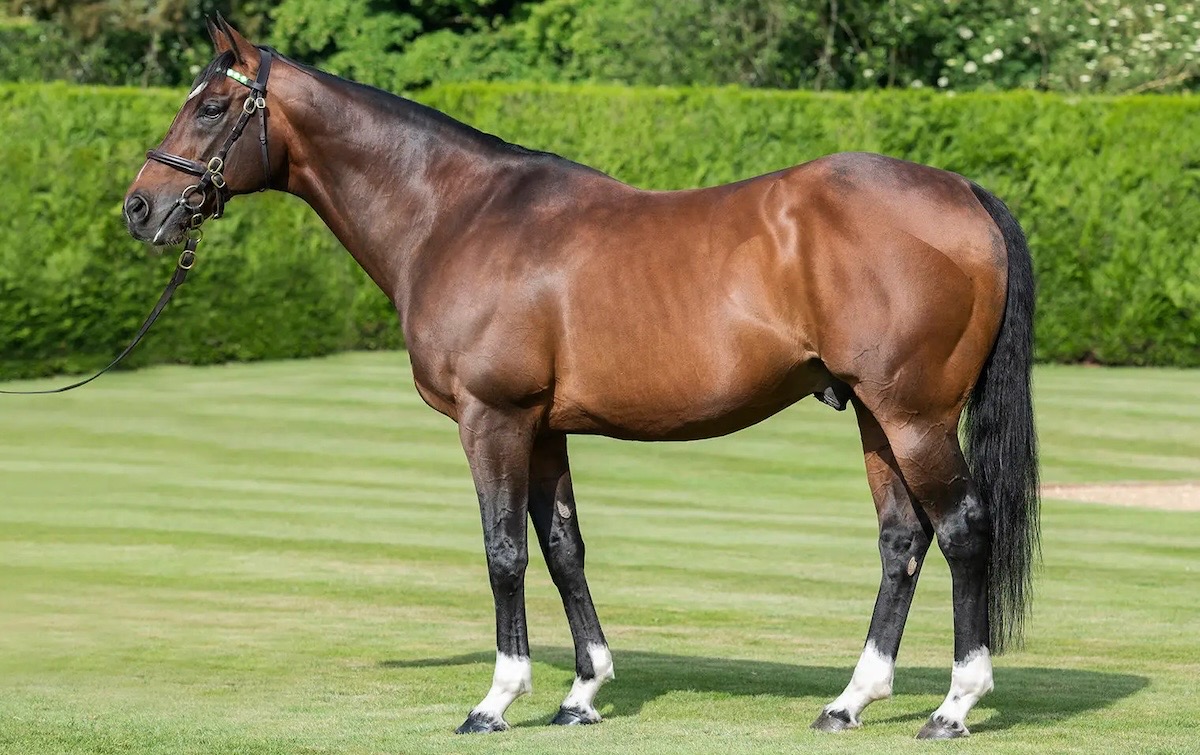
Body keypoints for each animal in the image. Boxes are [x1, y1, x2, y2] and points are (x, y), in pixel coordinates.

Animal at [123, 17, 1039, 740]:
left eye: (211, 106)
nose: (139, 207)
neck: (456, 214)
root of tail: (962, 192)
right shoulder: (544, 426)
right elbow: (563, 547)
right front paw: (582, 692)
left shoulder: (492, 417)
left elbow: (503, 552)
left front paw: (495, 700)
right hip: (877, 417)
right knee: (902, 539)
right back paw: (850, 699)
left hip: (914, 414)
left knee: (961, 528)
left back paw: (953, 706)